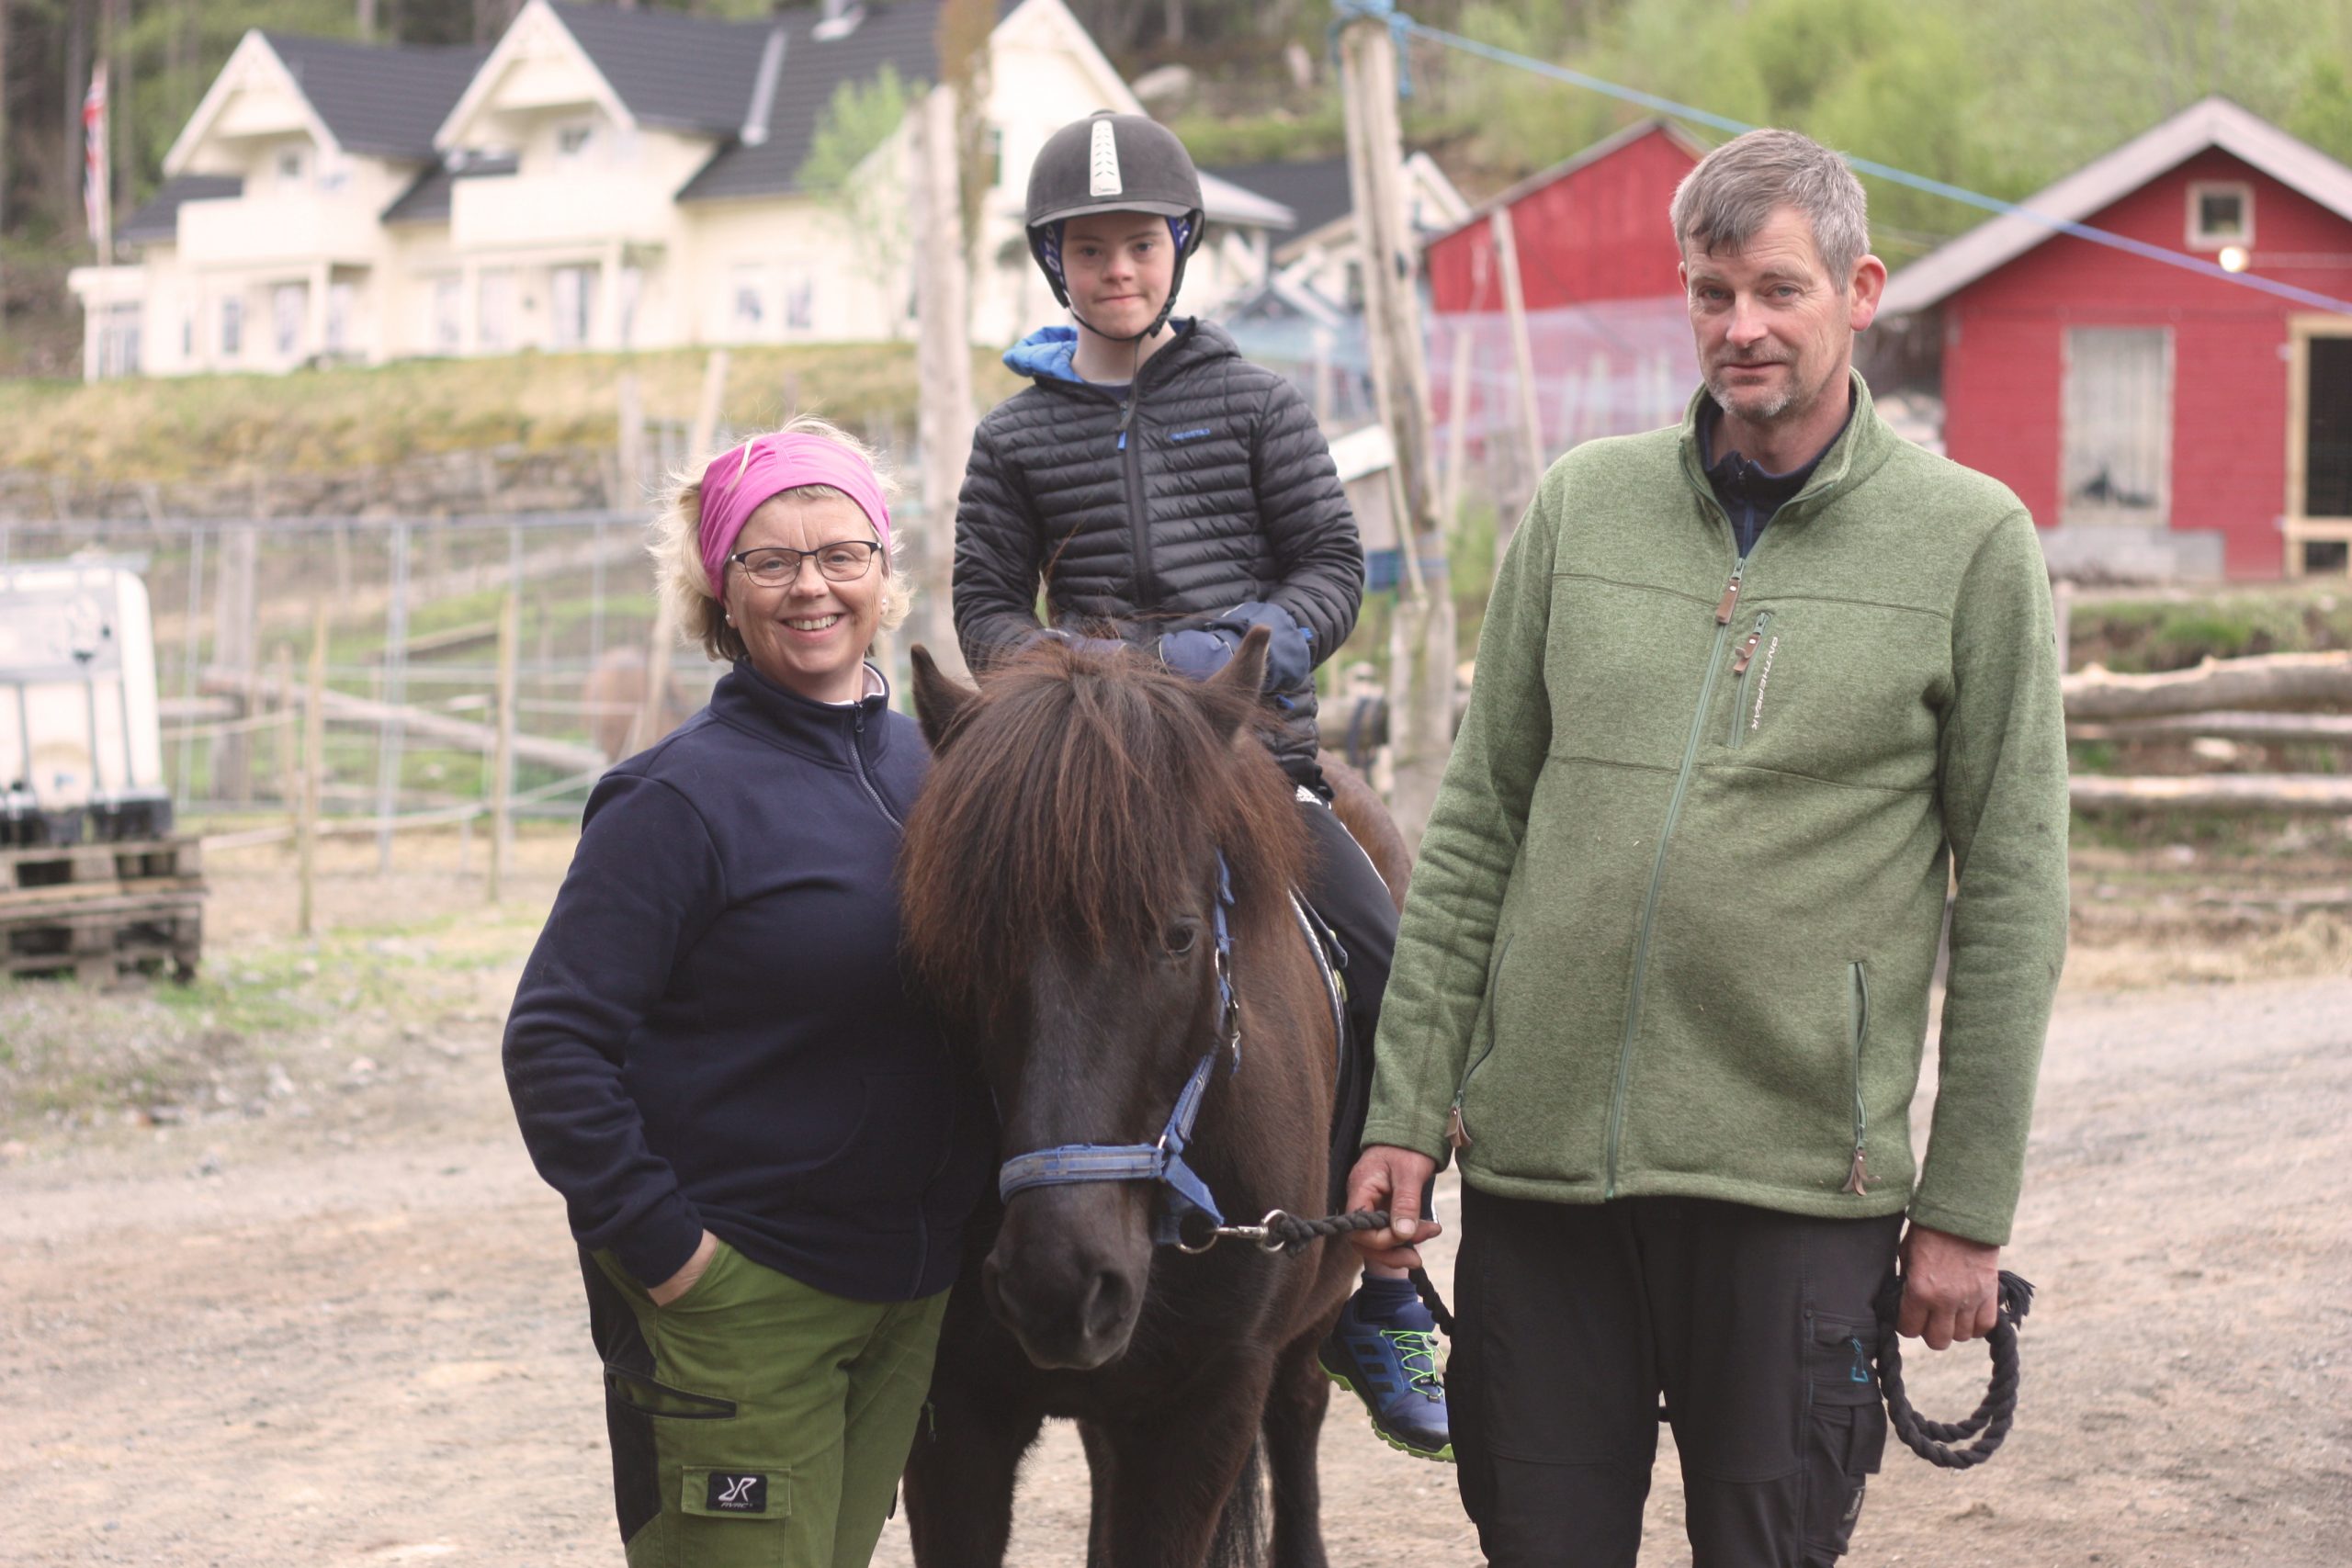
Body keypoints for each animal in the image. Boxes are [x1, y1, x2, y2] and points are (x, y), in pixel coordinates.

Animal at [908, 629, 1374, 1568]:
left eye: (1180, 936)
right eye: (967, 943)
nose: (1058, 1282)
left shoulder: (1204, 1405)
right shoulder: (951, 1417)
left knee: (1301, 1407)